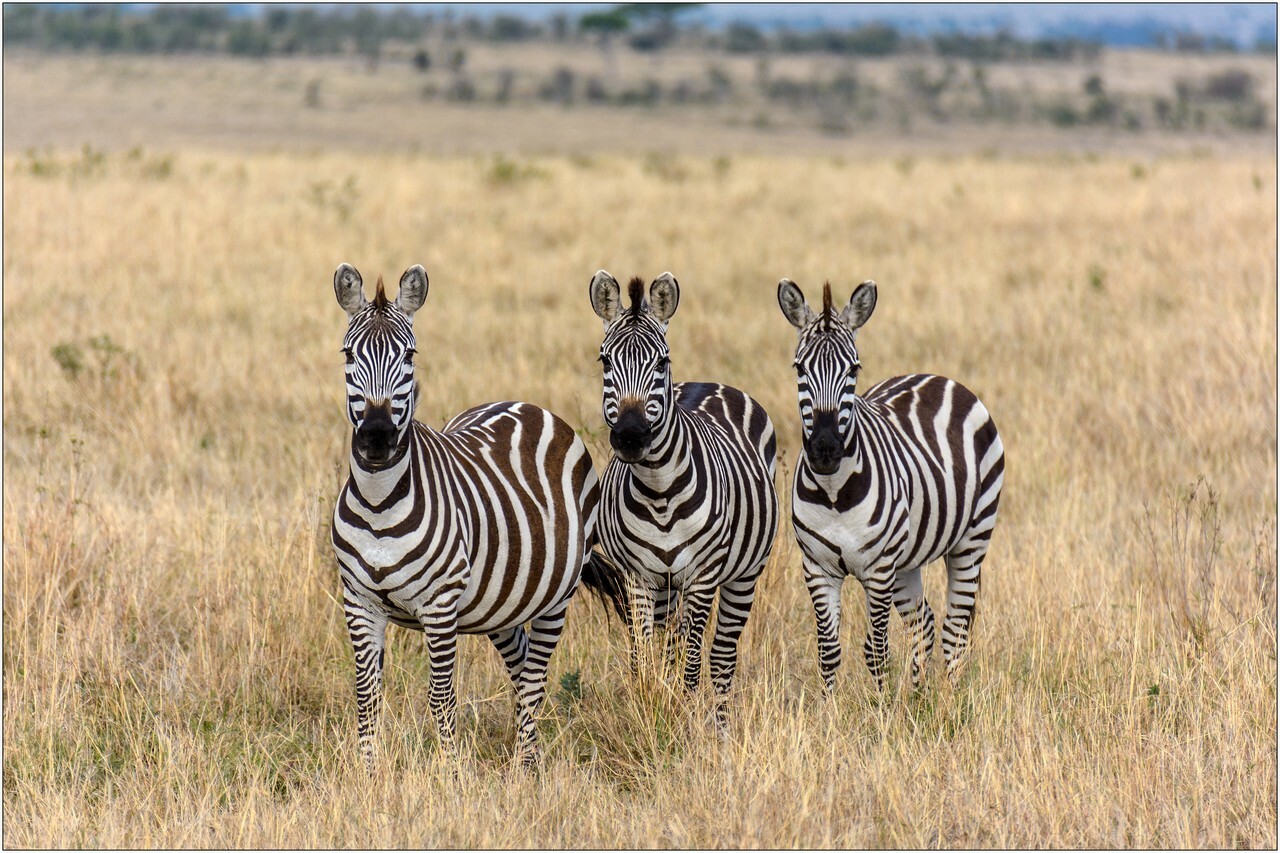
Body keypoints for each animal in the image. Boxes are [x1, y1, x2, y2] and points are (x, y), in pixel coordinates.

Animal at [332, 261, 627, 763]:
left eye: (410, 355)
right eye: (349, 354)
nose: (376, 437)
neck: (378, 502)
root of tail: (529, 406)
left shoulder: (440, 604)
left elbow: (441, 696)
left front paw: (450, 774)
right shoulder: (360, 602)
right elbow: (366, 695)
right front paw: (367, 774)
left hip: (557, 595)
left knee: (533, 681)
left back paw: (525, 767)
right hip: (503, 601)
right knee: (521, 665)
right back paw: (526, 754)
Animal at [583, 270, 773, 717]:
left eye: (662, 362)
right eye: (605, 361)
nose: (631, 435)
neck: (660, 494)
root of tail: (709, 382)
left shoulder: (702, 576)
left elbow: (690, 664)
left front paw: (685, 715)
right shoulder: (637, 576)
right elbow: (644, 658)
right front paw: (649, 707)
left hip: (743, 574)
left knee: (719, 655)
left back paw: (718, 714)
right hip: (667, 586)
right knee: (668, 645)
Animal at [773, 279, 1003, 691]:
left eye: (854, 369)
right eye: (799, 368)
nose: (825, 450)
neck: (834, 493)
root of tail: (937, 377)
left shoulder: (878, 570)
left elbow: (876, 651)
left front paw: (881, 707)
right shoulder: (817, 568)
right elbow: (828, 652)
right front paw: (829, 708)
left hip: (973, 537)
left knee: (955, 630)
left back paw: (951, 698)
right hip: (906, 559)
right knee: (924, 624)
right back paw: (917, 695)